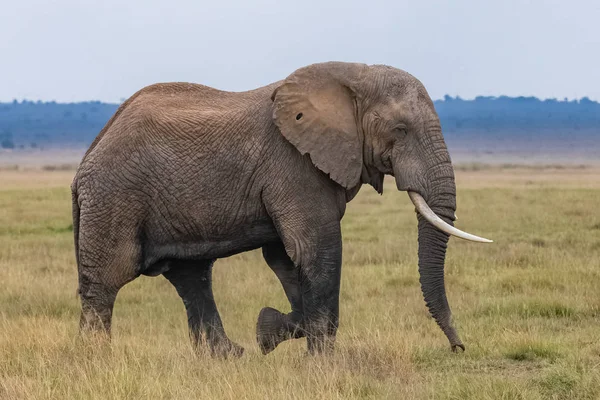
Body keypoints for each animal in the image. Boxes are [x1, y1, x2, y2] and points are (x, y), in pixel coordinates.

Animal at [71, 61, 492, 356]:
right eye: (401, 130)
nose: (458, 348)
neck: (353, 74)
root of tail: (85, 160)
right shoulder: (293, 166)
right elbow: (316, 249)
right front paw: (320, 364)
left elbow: (286, 259)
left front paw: (266, 332)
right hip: (115, 197)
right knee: (107, 282)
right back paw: (98, 362)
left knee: (192, 277)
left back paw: (230, 357)